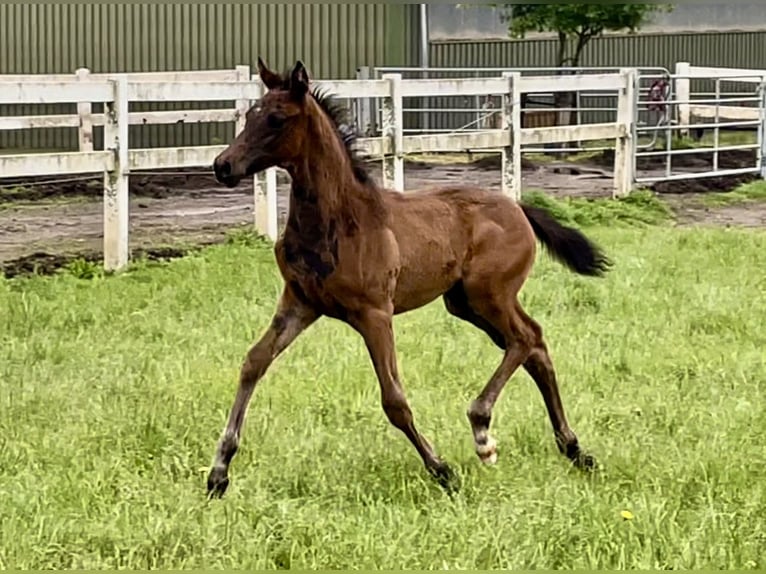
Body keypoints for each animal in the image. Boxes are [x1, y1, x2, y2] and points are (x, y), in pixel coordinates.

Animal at [207, 59, 616, 500]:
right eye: (250, 115)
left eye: (277, 119)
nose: (222, 165)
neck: (339, 221)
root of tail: (519, 207)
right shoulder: (299, 302)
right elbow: (253, 363)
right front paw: (219, 472)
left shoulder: (374, 313)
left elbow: (394, 400)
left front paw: (441, 469)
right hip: (465, 303)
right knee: (533, 344)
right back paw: (573, 449)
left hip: (489, 294)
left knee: (525, 338)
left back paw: (483, 431)